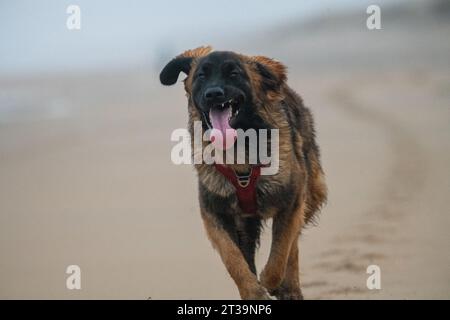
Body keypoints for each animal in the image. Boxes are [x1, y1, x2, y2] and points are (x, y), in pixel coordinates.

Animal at [161, 45, 326, 300]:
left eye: (234, 74)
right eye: (201, 76)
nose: (213, 94)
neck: (240, 154)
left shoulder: (292, 202)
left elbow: (281, 251)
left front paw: (273, 282)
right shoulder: (215, 214)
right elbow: (233, 259)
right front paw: (252, 291)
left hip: (311, 192)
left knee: (293, 243)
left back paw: (289, 287)